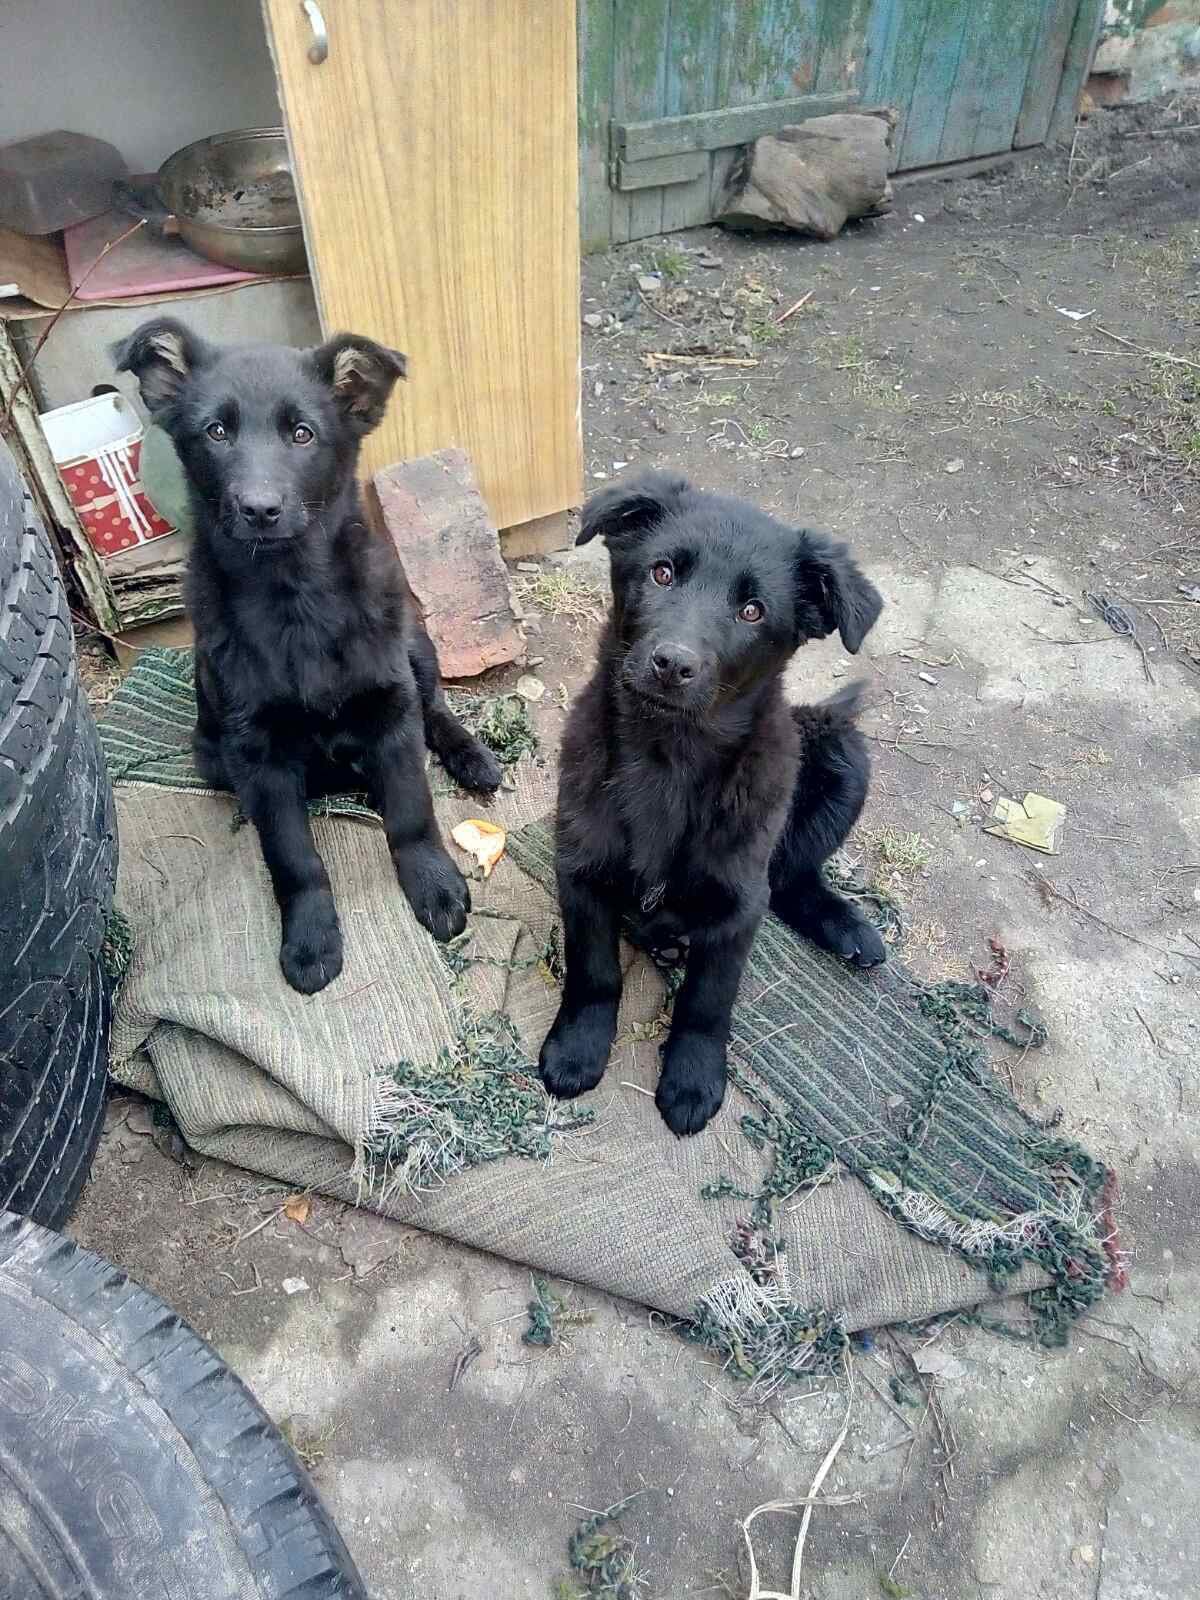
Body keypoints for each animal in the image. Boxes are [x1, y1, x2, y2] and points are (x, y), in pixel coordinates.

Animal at [112, 316, 502, 992]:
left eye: (303, 434)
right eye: (216, 432)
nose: (259, 509)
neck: (294, 596)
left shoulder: (390, 708)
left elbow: (411, 810)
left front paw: (434, 885)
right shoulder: (256, 753)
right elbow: (292, 855)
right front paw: (311, 938)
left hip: (415, 647)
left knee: (436, 709)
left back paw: (469, 756)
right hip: (210, 753)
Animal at [540, 467, 889, 1139]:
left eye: (752, 611)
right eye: (662, 573)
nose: (672, 663)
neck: (669, 759)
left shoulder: (736, 906)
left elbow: (707, 1001)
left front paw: (694, 1078)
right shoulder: (581, 870)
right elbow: (593, 971)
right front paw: (578, 1047)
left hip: (841, 753)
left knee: (792, 879)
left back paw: (846, 926)